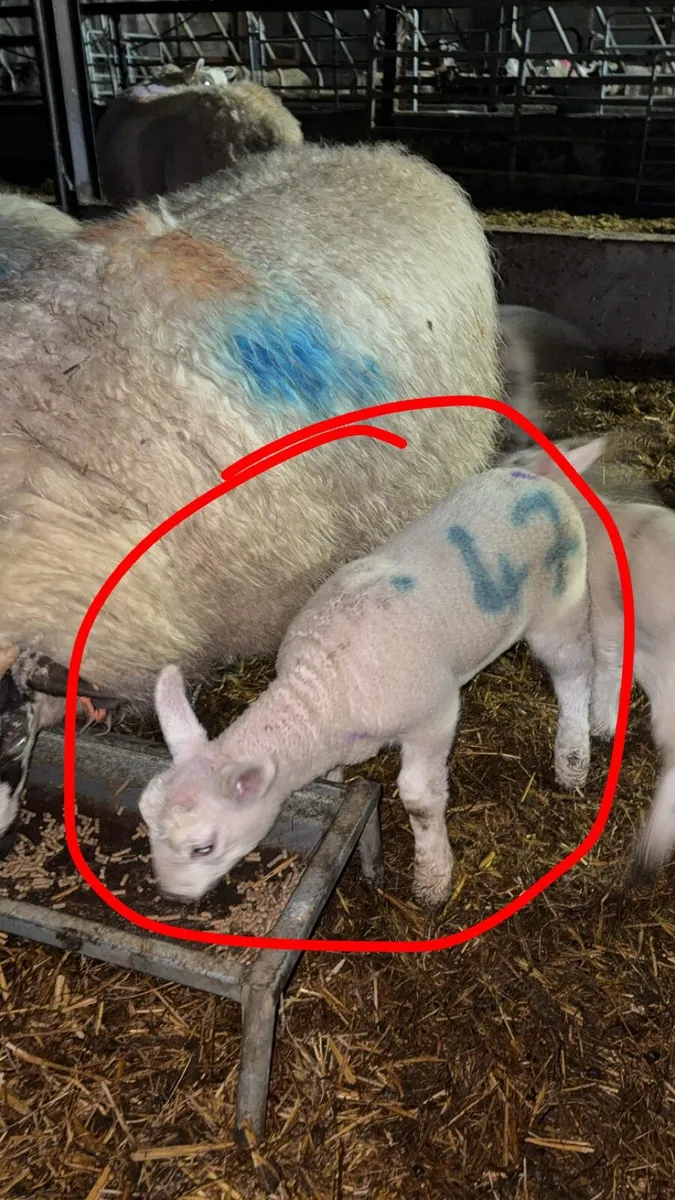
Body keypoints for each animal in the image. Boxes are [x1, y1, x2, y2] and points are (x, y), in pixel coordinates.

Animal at [139, 466, 592, 906]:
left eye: (203, 847)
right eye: (145, 821)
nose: (171, 896)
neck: (320, 687)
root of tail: (535, 479)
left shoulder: (435, 716)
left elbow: (420, 799)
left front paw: (432, 877)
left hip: (561, 603)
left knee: (573, 673)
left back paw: (573, 759)